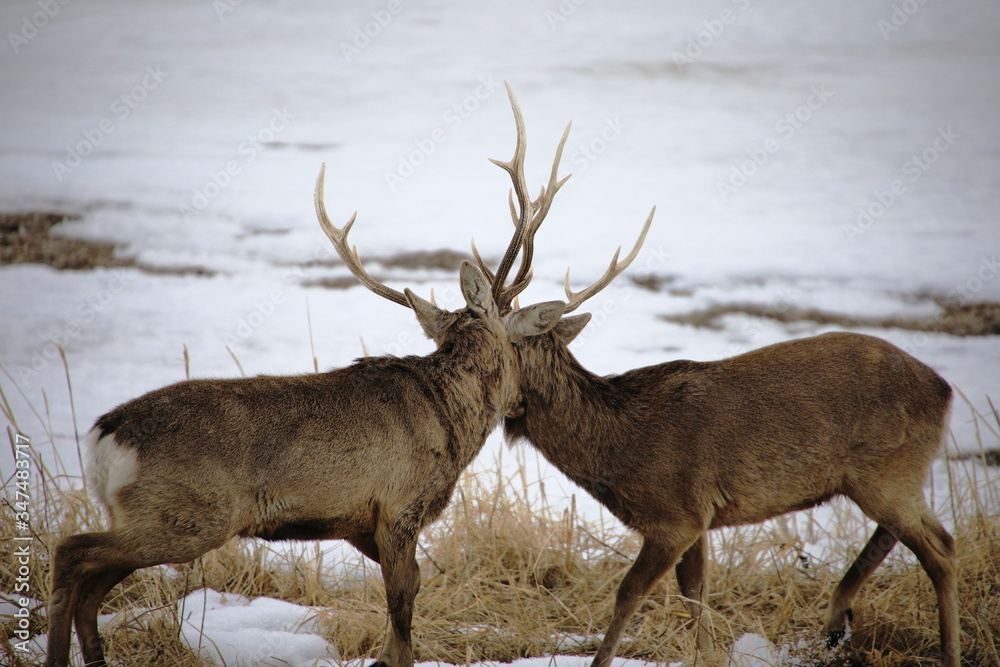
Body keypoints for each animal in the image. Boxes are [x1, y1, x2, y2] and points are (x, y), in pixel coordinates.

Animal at [43, 99, 571, 667]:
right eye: (523, 340)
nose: (524, 400)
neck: (450, 419)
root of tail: (104, 436)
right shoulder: (399, 505)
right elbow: (402, 602)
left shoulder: (361, 521)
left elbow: (404, 596)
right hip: (185, 517)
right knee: (71, 552)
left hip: (148, 518)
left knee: (92, 584)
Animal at [475, 97, 959, 667]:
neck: (615, 450)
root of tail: (945, 391)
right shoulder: (701, 518)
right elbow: (696, 598)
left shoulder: (675, 513)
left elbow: (629, 595)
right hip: (892, 472)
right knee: (912, 538)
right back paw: (841, 619)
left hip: (887, 468)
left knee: (942, 549)